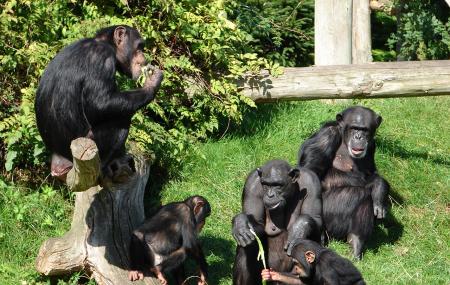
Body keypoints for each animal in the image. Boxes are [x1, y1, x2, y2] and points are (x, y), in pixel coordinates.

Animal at [34, 24, 163, 182]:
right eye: (139, 47)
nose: (143, 58)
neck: (106, 43)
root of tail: (59, 158)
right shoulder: (103, 57)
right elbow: (101, 103)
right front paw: (152, 82)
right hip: (92, 144)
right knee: (121, 121)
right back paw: (105, 167)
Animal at [298, 105, 388, 258]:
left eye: (364, 130)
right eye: (354, 128)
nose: (358, 136)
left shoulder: (372, 146)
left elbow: (371, 172)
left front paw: (380, 187)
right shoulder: (326, 136)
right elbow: (310, 172)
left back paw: (356, 242)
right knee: (360, 194)